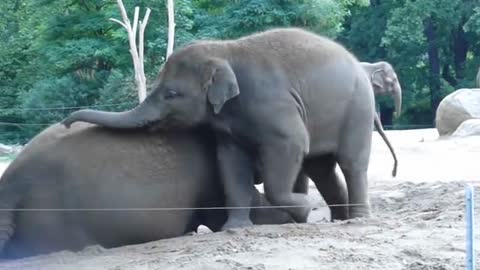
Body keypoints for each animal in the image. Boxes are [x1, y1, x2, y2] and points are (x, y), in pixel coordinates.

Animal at [61, 28, 378, 230]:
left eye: (171, 94)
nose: (66, 123)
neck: (223, 49)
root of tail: (358, 65)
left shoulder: (273, 104)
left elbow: (293, 144)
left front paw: (302, 206)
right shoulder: (228, 127)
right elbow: (230, 161)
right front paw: (235, 228)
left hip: (358, 106)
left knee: (350, 162)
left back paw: (358, 219)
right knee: (322, 168)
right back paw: (340, 219)